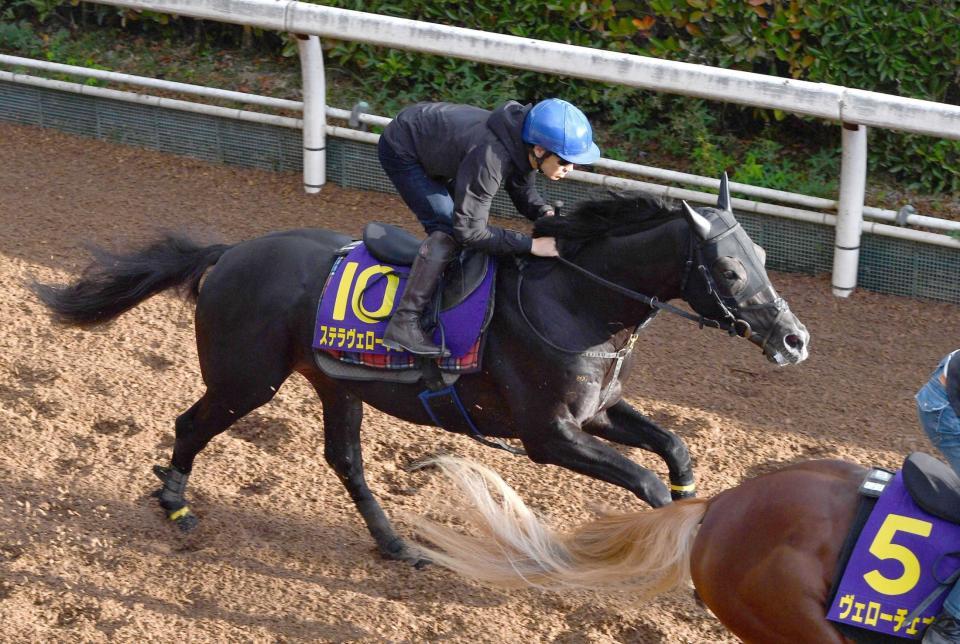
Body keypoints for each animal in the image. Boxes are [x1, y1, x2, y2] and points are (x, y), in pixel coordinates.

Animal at [31, 174, 809, 566]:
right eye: (730, 269)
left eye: (765, 260)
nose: (795, 339)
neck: (575, 299)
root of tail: (229, 255)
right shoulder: (547, 434)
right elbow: (645, 480)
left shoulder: (598, 409)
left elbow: (674, 449)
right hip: (246, 379)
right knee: (190, 423)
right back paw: (175, 503)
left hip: (334, 383)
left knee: (344, 459)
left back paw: (397, 544)